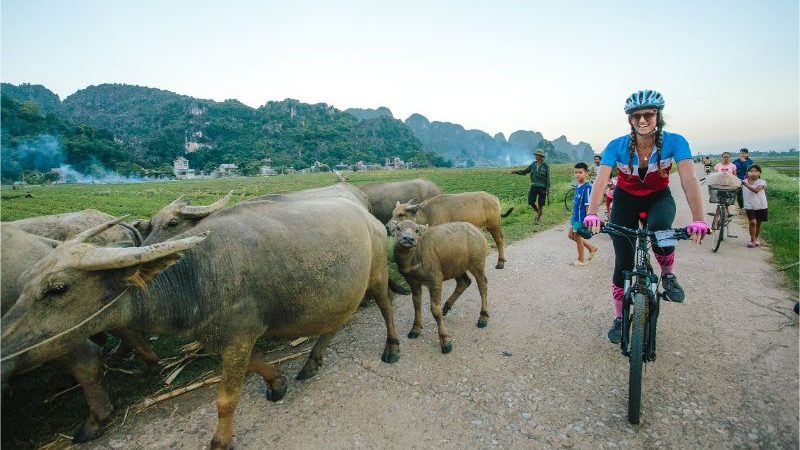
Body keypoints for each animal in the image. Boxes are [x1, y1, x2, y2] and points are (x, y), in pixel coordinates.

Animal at [0, 198, 400, 450]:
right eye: (25, 283)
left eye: (57, 289)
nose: (6, 347)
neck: (195, 278)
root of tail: (368, 216)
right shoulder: (222, 338)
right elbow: (255, 366)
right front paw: (277, 382)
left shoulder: (238, 337)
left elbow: (225, 398)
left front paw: (221, 440)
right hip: (341, 293)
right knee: (335, 323)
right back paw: (311, 362)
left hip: (379, 275)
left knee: (386, 305)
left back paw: (392, 346)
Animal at [386, 220, 490, 354]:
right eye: (398, 228)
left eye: (416, 230)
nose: (408, 239)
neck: (414, 258)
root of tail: (478, 231)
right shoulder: (413, 282)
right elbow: (416, 304)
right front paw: (415, 329)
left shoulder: (435, 280)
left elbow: (435, 309)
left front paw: (445, 341)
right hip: (456, 267)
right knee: (464, 282)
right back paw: (446, 307)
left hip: (477, 264)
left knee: (483, 285)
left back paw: (483, 318)